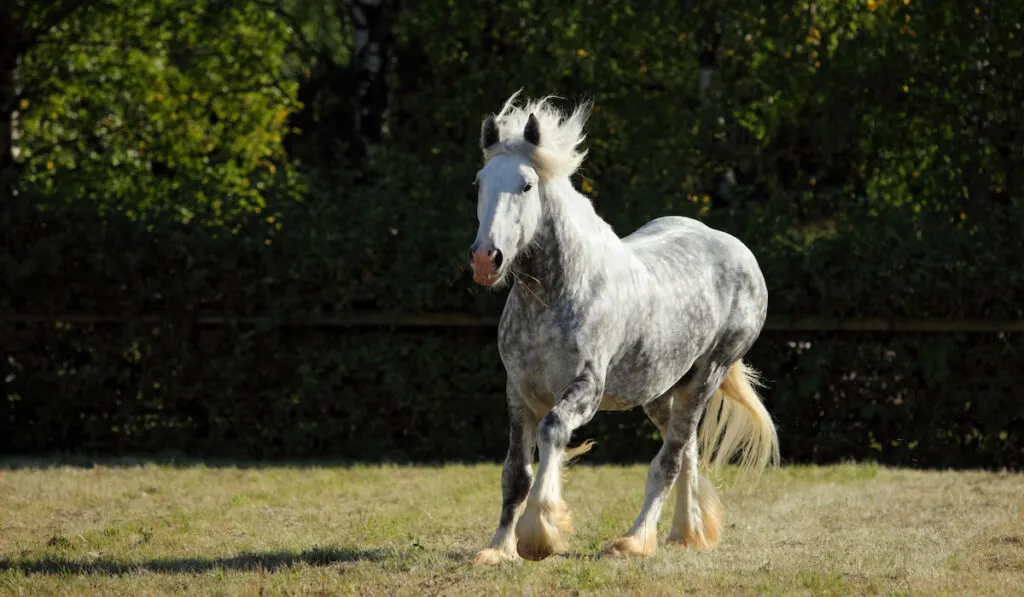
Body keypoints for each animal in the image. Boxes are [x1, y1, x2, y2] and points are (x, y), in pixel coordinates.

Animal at [468, 91, 778, 561]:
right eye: (480, 182)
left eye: (526, 185)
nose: (487, 259)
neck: (556, 294)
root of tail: (739, 251)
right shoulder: (518, 391)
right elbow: (515, 472)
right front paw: (498, 549)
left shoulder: (585, 388)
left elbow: (553, 432)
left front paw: (539, 534)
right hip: (660, 390)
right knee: (687, 450)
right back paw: (686, 533)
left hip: (706, 377)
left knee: (669, 461)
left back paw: (634, 540)